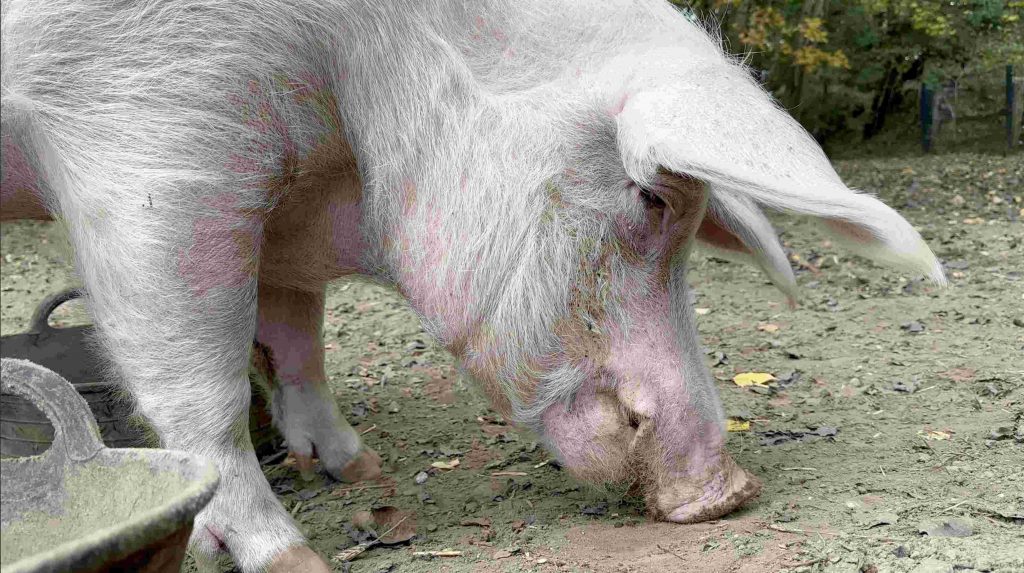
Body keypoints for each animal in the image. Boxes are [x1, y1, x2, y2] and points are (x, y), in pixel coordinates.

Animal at [0, 1, 945, 571]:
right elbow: (204, 386)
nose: (730, 489)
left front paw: (357, 467)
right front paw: (293, 557)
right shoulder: (151, 146)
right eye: (651, 198)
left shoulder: (288, 198)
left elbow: (299, 334)